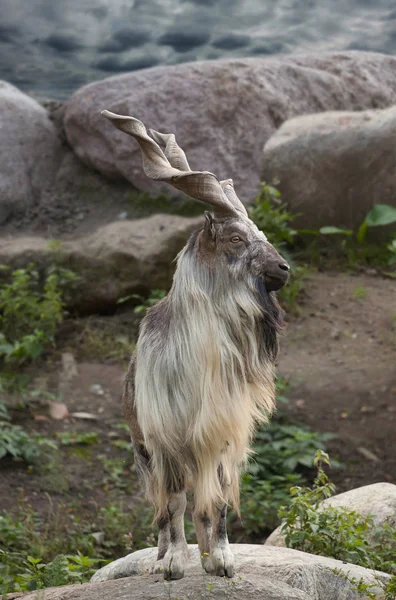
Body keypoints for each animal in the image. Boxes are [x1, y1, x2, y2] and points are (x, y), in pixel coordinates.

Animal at [100, 109, 290, 580]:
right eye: (236, 238)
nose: (284, 268)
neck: (200, 360)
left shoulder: (221, 432)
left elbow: (217, 500)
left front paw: (221, 559)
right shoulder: (163, 439)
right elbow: (174, 502)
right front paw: (174, 564)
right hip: (142, 449)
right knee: (167, 506)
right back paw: (162, 558)